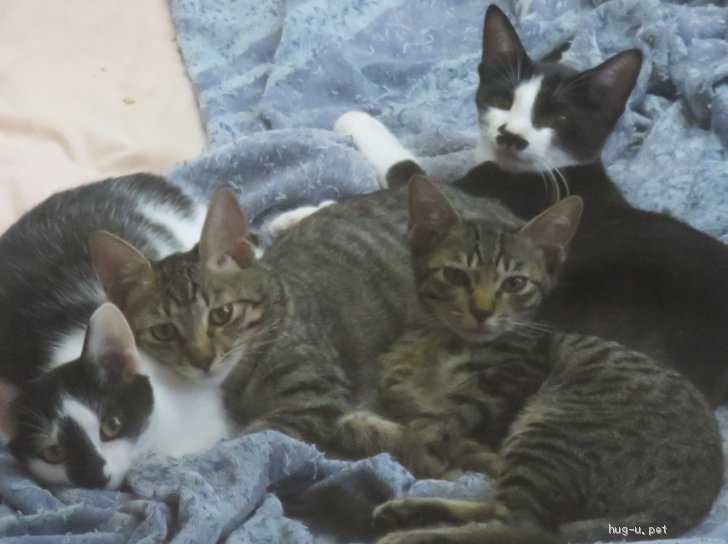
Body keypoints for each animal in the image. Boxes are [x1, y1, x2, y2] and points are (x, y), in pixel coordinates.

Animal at [334, 4, 728, 406]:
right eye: (504, 99)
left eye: (556, 118)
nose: (511, 136)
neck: (549, 170)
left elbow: (405, 174)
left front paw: (354, 123)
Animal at [341, 177, 723, 544]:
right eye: (455, 275)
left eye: (514, 283)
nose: (482, 311)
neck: (436, 341)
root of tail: (691, 499)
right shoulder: (400, 394)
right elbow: (428, 424)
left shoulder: (514, 370)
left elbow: (434, 421)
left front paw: (427, 454)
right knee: (506, 513)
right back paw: (408, 512)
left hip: (552, 430)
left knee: (526, 528)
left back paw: (415, 533)